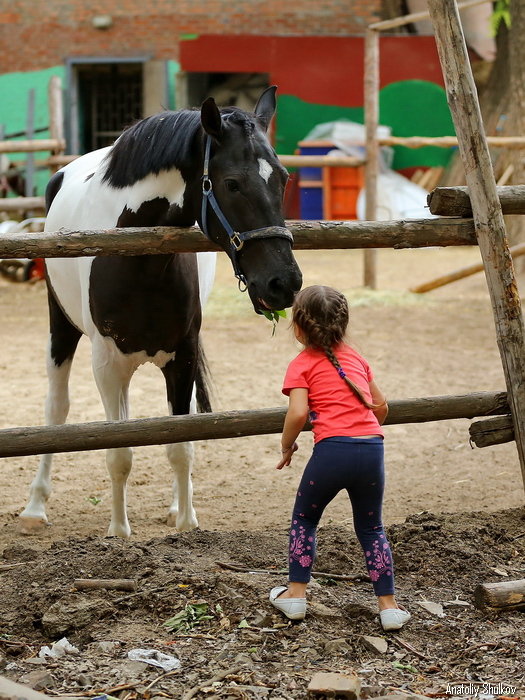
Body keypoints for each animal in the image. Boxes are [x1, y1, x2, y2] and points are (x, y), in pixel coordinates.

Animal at [19, 86, 302, 536]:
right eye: (232, 183)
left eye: (283, 178)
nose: (284, 283)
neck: (138, 259)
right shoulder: (106, 362)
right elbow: (118, 452)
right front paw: (118, 533)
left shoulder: (182, 356)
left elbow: (179, 442)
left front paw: (186, 522)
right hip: (61, 326)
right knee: (57, 408)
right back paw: (35, 507)